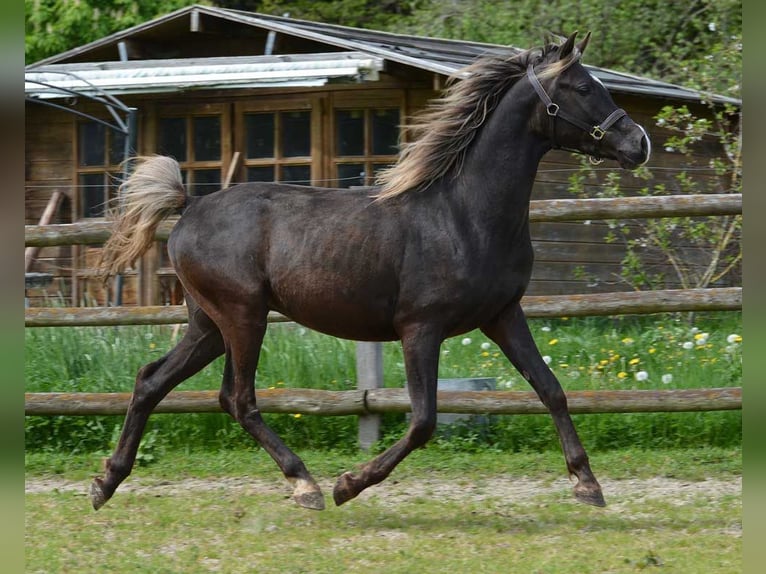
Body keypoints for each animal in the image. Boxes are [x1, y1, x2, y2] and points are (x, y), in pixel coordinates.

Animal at [93, 32, 652, 512]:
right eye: (583, 87)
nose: (639, 143)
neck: (464, 213)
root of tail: (188, 207)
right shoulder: (420, 328)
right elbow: (424, 420)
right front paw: (349, 484)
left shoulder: (503, 316)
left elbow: (550, 388)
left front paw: (587, 483)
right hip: (242, 317)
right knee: (237, 398)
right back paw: (306, 485)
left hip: (209, 324)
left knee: (151, 381)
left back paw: (106, 483)